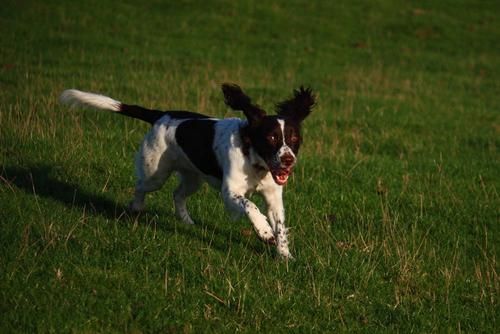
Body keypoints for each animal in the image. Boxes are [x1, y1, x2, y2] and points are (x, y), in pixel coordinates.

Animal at [60, 83, 314, 258]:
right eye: (271, 137)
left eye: (294, 139)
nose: (288, 160)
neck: (255, 159)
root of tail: (161, 114)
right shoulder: (230, 192)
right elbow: (250, 206)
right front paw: (264, 232)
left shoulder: (273, 197)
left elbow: (280, 226)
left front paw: (285, 256)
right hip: (156, 173)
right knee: (141, 186)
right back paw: (136, 208)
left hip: (194, 178)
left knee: (178, 194)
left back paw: (186, 221)